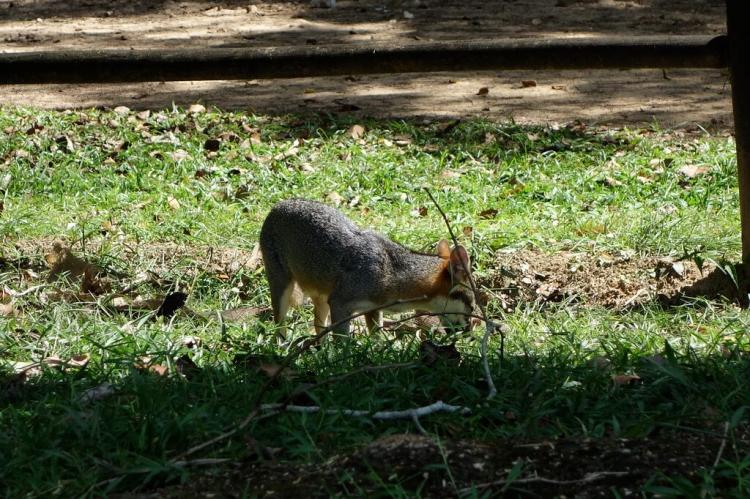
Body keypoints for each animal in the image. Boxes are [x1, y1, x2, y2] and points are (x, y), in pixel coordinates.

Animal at [259, 199, 475, 337]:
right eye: (471, 305)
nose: (470, 332)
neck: (390, 272)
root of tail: (278, 205)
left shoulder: (373, 309)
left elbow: (377, 339)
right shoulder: (340, 303)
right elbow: (343, 341)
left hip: (322, 298)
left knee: (318, 326)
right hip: (283, 291)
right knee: (279, 326)